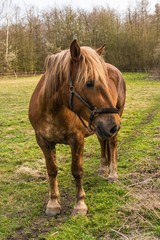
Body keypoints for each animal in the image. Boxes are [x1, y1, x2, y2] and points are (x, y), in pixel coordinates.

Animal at [28, 39, 126, 216]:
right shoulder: (44, 142)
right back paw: (103, 168)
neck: (52, 111)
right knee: (103, 142)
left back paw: (112, 174)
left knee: (112, 144)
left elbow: (77, 171)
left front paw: (80, 204)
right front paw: (53, 203)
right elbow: (52, 171)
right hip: (99, 127)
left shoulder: (77, 140)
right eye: (89, 83)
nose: (114, 125)